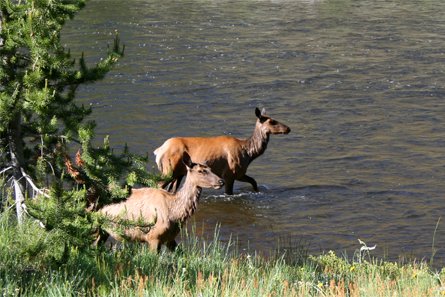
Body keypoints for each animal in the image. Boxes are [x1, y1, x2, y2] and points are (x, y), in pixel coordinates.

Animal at [153, 107, 292, 195]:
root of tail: (158, 151)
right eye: (272, 121)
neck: (248, 153)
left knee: (171, 190)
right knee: (158, 185)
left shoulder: (240, 173)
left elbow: (254, 181)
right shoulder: (230, 173)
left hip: (179, 173)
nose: (288, 128)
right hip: (168, 169)